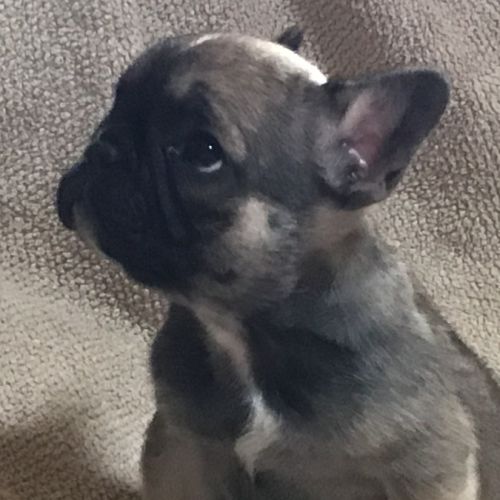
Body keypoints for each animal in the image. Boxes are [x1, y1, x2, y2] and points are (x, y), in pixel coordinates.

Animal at [56, 26, 484, 499]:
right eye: (118, 103)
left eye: (202, 152)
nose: (103, 146)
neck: (243, 333)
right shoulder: (182, 448)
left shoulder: (430, 468)